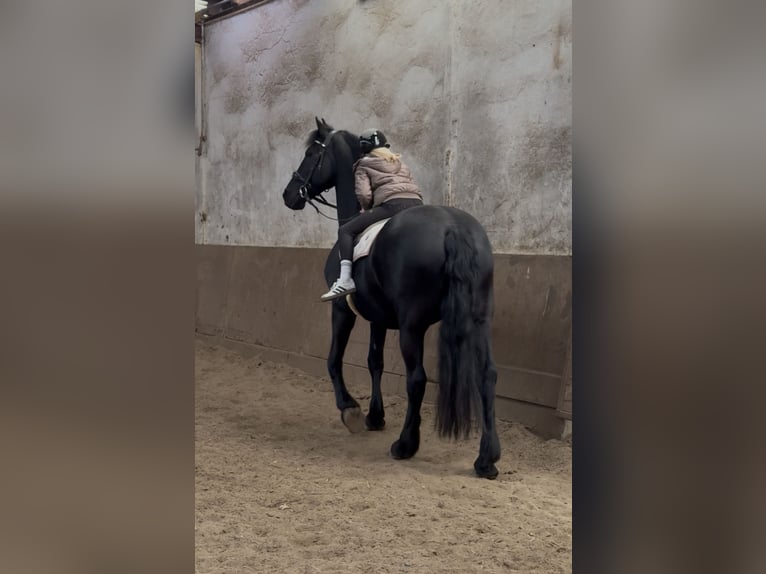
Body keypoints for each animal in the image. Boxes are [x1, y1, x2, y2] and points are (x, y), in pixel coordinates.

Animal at [282, 118, 500, 478]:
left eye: (312, 153)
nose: (289, 194)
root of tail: (453, 229)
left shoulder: (343, 311)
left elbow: (334, 359)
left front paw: (351, 410)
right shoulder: (379, 320)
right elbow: (375, 362)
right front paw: (375, 416)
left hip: (413, 327)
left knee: (417, 379)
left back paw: (405, 445)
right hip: (478, 320)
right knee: (487, 375)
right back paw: (487, 459)